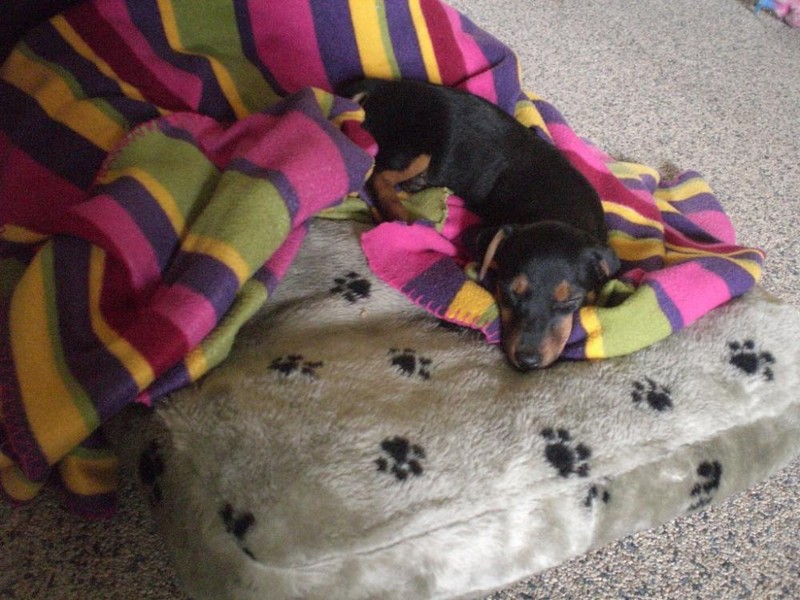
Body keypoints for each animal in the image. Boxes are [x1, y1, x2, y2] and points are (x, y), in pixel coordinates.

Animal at [339, 78, 620, 370]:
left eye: (572, 300)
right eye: (507, 291)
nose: (527, 361)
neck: (557, 206)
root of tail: (383, 86)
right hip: (417, 144)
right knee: (377, 174)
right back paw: (398, 210)